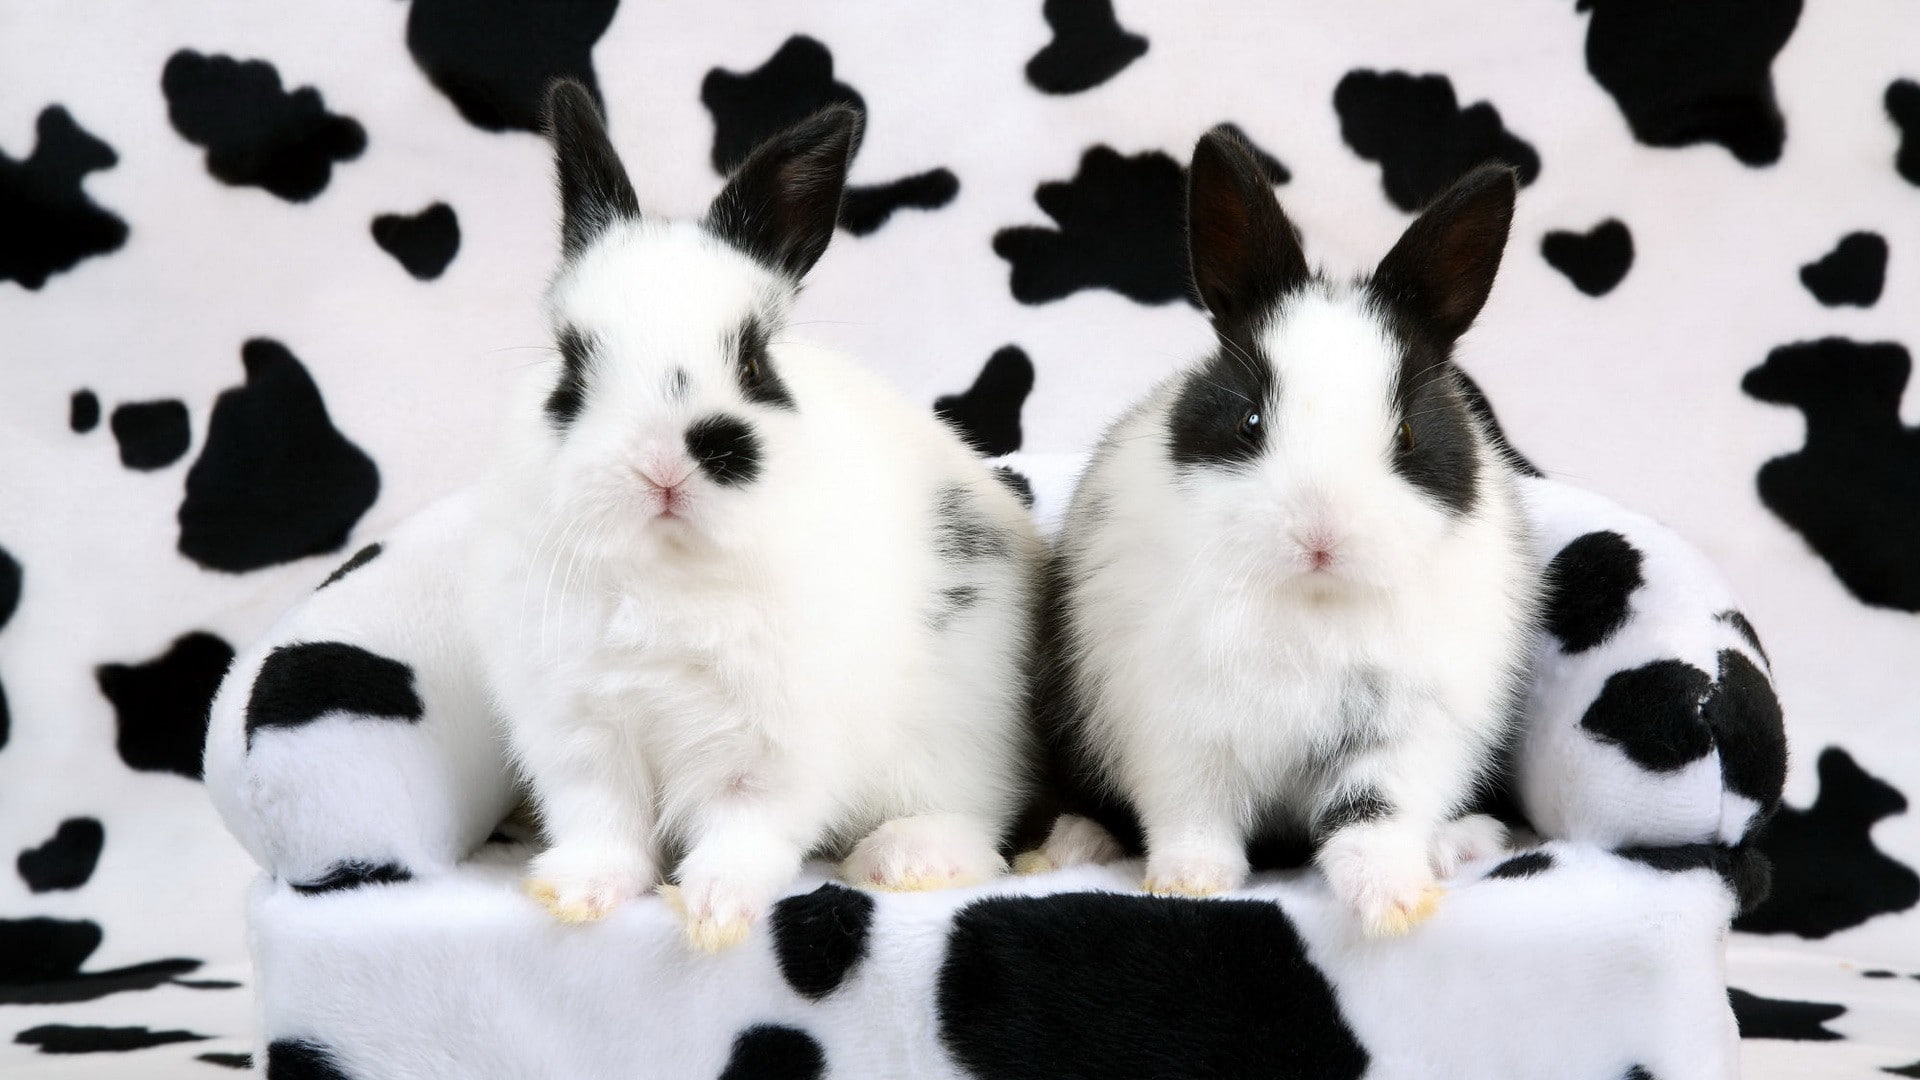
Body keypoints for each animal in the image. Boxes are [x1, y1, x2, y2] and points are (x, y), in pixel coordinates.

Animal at [464, 82, 1044, 950]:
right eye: (571, 365)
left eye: (753, 361)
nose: (666, 461)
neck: (667, 573)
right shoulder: (582, 736)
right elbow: (604, 822)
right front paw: (577, 894)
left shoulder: (771, 747)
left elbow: (747, 826)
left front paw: (713, 910)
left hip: (960, 734)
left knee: (976, 821)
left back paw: (906, 860)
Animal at [1027, 128, 1539, 937]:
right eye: (1248, 421)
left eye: (1406, 436)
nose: (1320, 534)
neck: (1311, 599)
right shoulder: (1177, 727)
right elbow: (1193, 814)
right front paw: (1188, 883)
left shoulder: (1402, 733)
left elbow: (1375, 817)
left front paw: (1397, 903)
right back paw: (1074, 843)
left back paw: (1462, 842)